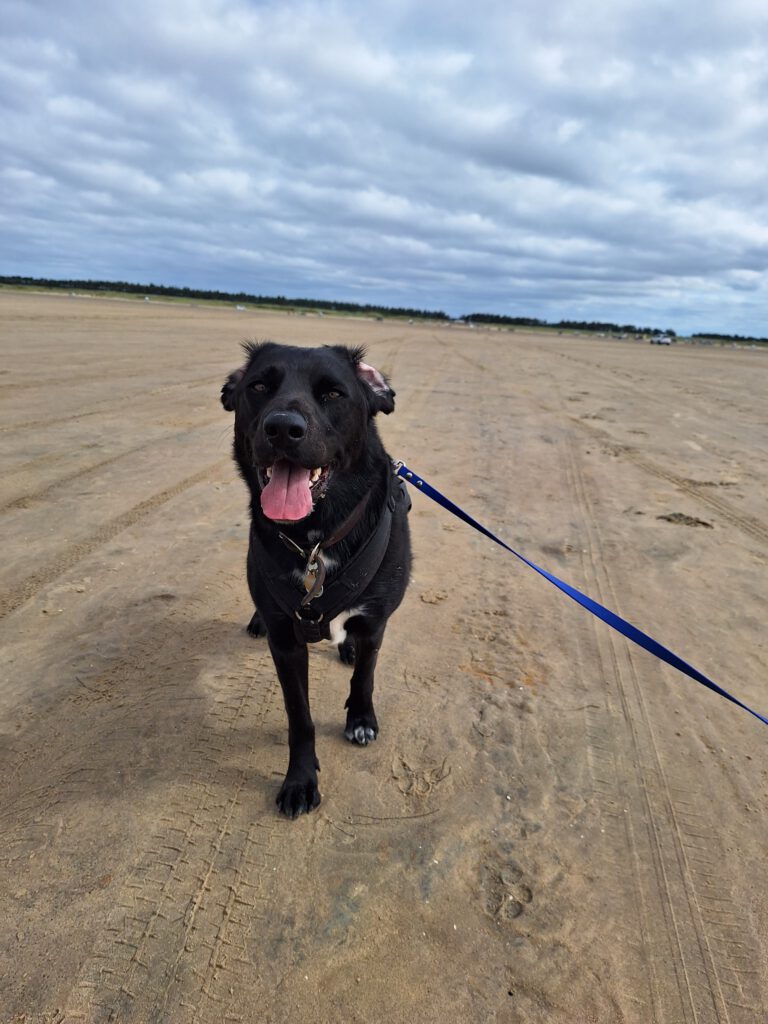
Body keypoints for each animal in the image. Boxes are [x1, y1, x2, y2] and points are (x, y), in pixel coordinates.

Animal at [222, 342, 411, 815]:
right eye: (259, 387)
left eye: (333, 393)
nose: (282, 428)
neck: (315, 539)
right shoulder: (286, 643)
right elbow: (299, 717)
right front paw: (300, 780)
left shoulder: (376, 620)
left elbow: (365, 676)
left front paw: (360, 719)